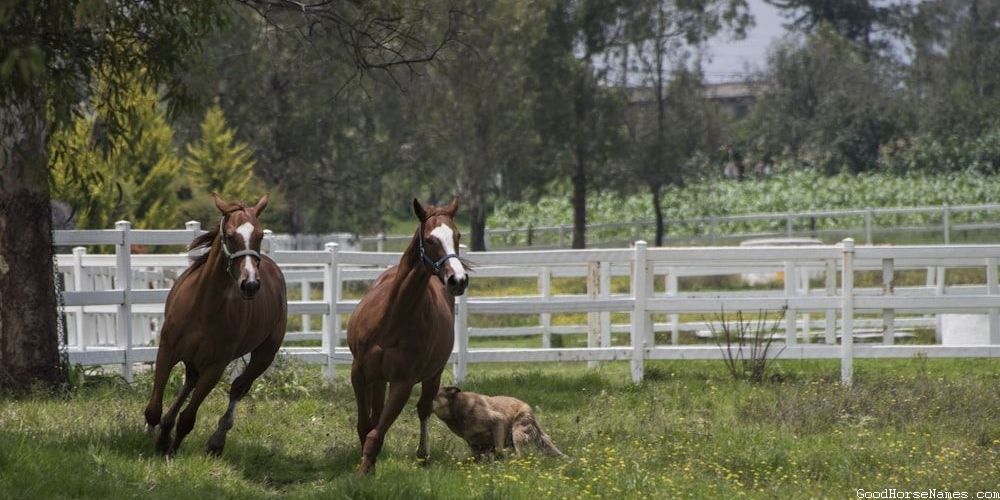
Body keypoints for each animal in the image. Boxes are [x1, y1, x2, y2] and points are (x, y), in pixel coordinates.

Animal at [143, 194, 287, 456]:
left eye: (260, 235)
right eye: (229, 235)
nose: (250, 284)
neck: (203, 307)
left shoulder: (215, 366)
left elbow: (188, 418)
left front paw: (170, 448)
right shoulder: (167, 350)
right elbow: (154, 407)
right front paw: (154, 438)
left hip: (265, 354)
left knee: (238, 388)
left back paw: (216, 441)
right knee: (189, 382)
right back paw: (166, 428)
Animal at [347, 197, 469, 474]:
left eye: (457, 236)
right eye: (431, 239)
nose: (458, 280)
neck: (391, 321)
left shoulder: (403, 383)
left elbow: (376, 433)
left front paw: (365, 470)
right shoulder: (359, 373)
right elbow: (365, 426)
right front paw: (366, 469)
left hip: (432, 375)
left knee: (424, 409)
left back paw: (423, 456)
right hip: (378, 379)